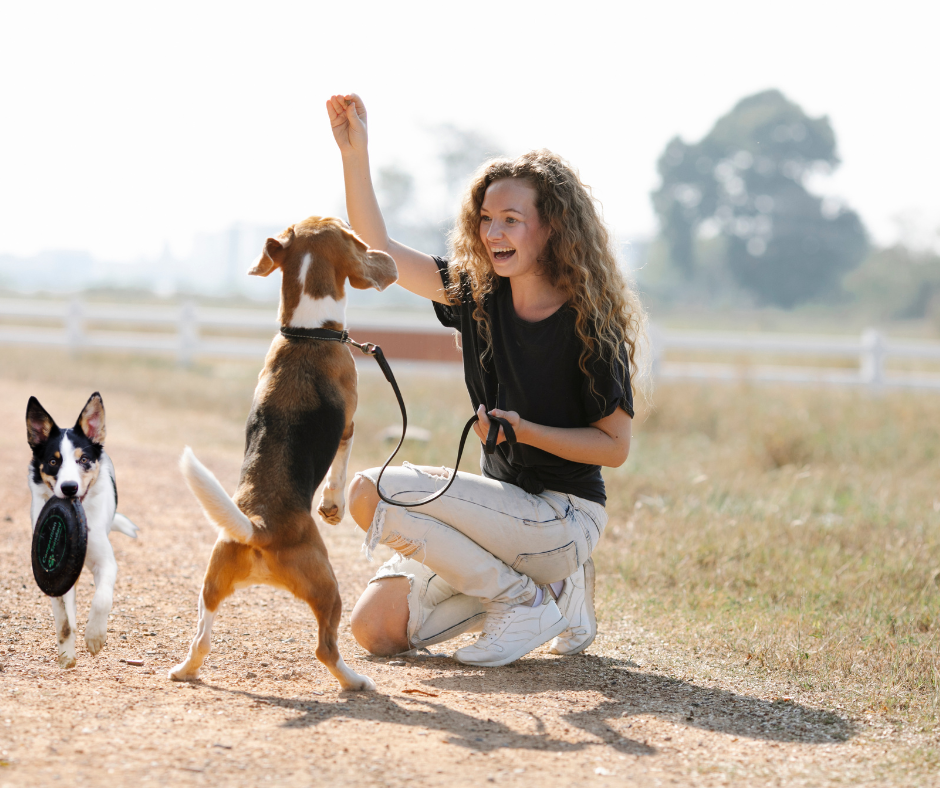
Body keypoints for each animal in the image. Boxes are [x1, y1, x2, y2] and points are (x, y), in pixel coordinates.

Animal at [26, 390, 138, 668]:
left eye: (84, 460)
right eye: (53, 461)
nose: (69, 488)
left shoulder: (106, 562)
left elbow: (102, 599)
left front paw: (95, 637)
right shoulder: (58, 575)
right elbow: (63, 618)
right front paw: (67, 652)